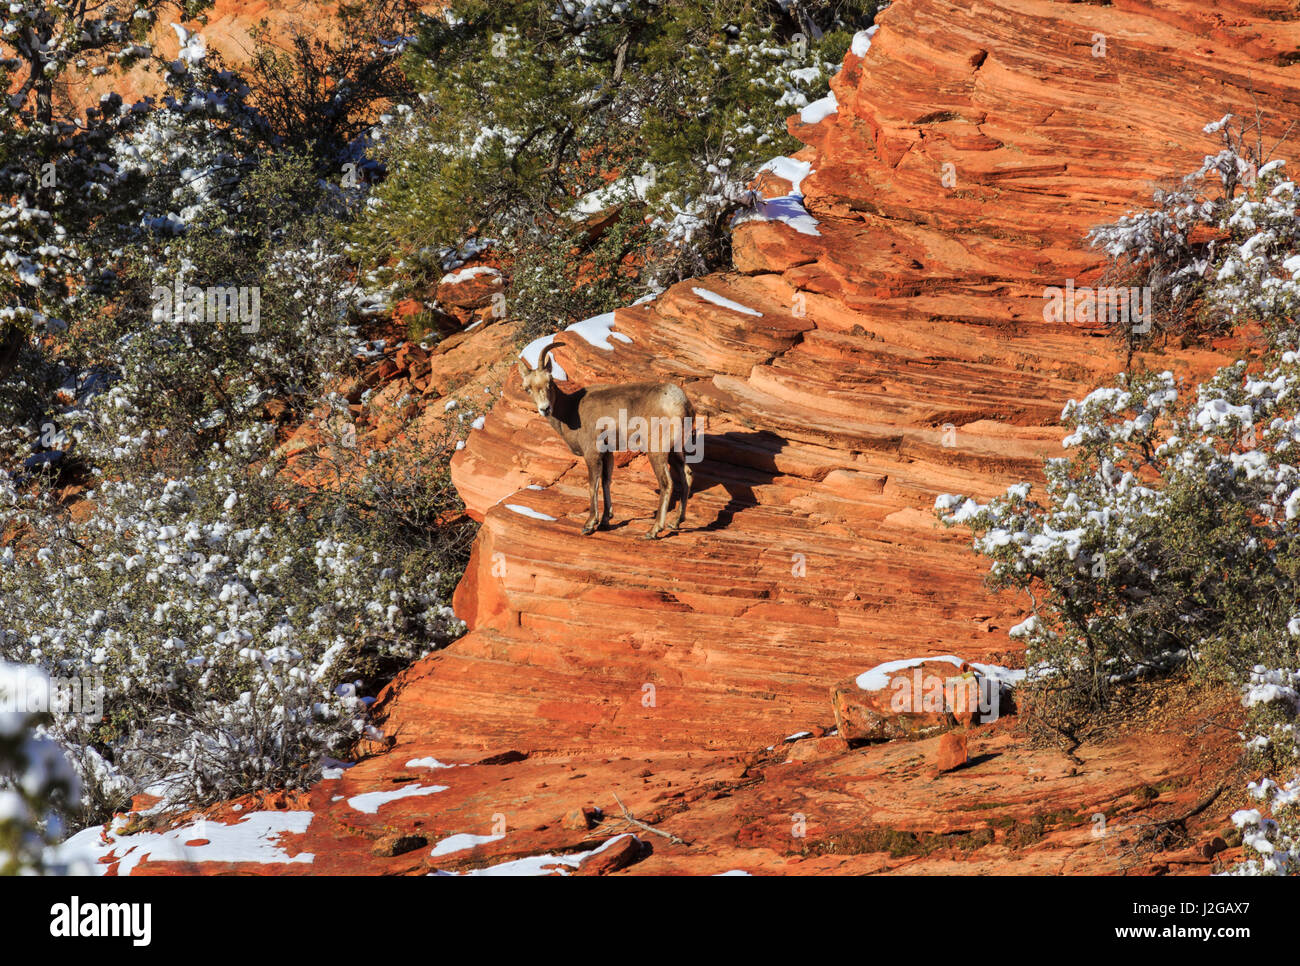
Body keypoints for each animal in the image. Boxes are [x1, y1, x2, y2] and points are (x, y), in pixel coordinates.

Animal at [517, 343, 702, 540]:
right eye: (527, 388)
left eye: (550, 383)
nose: (545, 408)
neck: (570, 411)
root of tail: (681, 403)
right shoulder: (608, 454)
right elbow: (606, 481)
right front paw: (606, 521)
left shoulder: (592, 454)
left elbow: (593, 485)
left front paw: (589, 525)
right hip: (676, 450)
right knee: (687, 475)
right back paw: (675, 522)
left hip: (657, 451)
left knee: (667, 483)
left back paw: (653, 531)